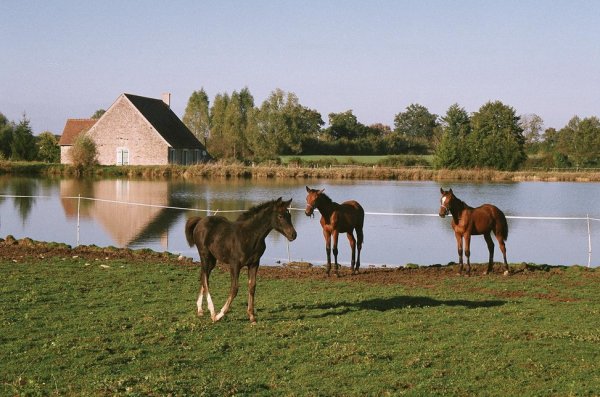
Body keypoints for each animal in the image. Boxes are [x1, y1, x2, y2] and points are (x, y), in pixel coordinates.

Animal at [183, 196, 296, 324]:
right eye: (280, 216)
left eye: (289, 215)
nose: (293, 235)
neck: (250, 236)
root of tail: (200, 221)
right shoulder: (235, 265)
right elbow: (234, 289)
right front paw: (219, 315)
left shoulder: (254, 264)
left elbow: (252, 287)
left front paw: (252, 316)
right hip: (204, 255)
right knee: (206, 279)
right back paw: (212, 312)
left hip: (212, 260)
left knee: (203, 276)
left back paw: (200, 309)